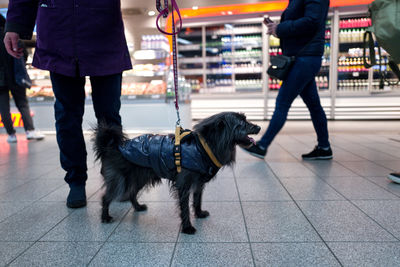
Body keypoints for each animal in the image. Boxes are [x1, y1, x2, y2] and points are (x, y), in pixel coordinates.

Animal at [94, 112, 262, 236]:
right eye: (242, 124)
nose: (259, 127)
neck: (202, 147)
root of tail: (113, 146)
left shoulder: (198, 183)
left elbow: (197, 200)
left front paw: (199, 213)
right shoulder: (184, 185)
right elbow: (185, 207)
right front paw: (187, 227)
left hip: (140, 178)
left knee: (131, 193)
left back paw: (138, 207)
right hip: (119, 181)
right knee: (106, 197)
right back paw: (105, 217)